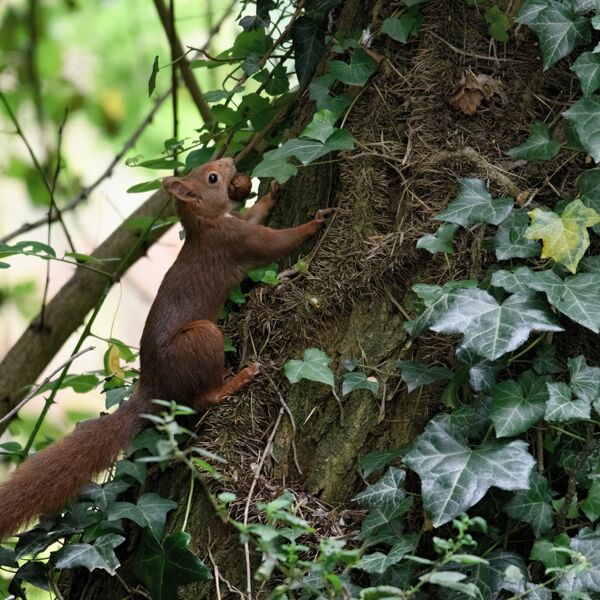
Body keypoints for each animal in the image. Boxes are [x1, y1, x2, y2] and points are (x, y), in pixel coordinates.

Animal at [0, 157, 334, 541]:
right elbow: (275, 243)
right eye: (212, 177)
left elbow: (255, 215)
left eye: (214, 167)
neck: (204, 222)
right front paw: (316, 221)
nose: (230, 161)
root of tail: (153, 387)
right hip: (201, 337)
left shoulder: (237, 225)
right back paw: (236, 380)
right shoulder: (233, 240)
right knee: (204, 398)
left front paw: (273, 192)